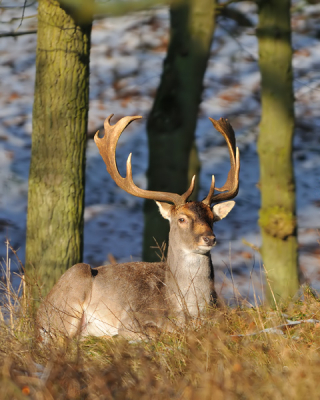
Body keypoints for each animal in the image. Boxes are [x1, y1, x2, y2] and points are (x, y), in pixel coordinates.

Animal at [36, 115, 239, 340]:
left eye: (212, 218)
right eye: (182, 219)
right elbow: (153, 333)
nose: (209, 238)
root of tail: (39, 313)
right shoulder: (131, 318)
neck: (187, 310)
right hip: (70, 294)